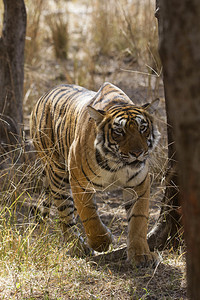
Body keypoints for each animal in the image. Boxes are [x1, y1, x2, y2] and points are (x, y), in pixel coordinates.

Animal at [30, 81, 160, 266]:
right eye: (119, 132)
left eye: (143, 128)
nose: (138, 153)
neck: (116, 164)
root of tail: (44, 95)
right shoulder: (78, 181)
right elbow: (89, 215)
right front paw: (102, 242)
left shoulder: (138, 183)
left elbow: (138, 219)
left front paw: (141, 255)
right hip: (57, 172)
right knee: (65, 215)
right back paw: (78, 247)